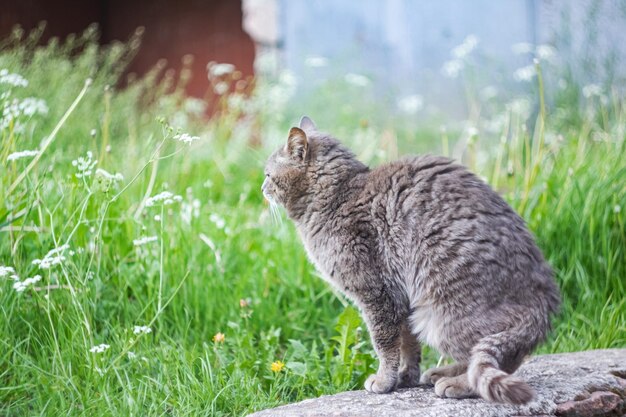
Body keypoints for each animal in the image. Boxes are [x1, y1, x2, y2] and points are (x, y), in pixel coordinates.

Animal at [260, 116, 560, 404]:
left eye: (268, 174)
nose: (262, 188)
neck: (338, 195)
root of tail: (543, 303)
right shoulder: (401, 299)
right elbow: (408, 344)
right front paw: (405, 377)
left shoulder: (377, 294)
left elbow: (385, 342)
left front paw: (384, 380)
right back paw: (441, 372)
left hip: (440, 317)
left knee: (499, 360)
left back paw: (458, 383)